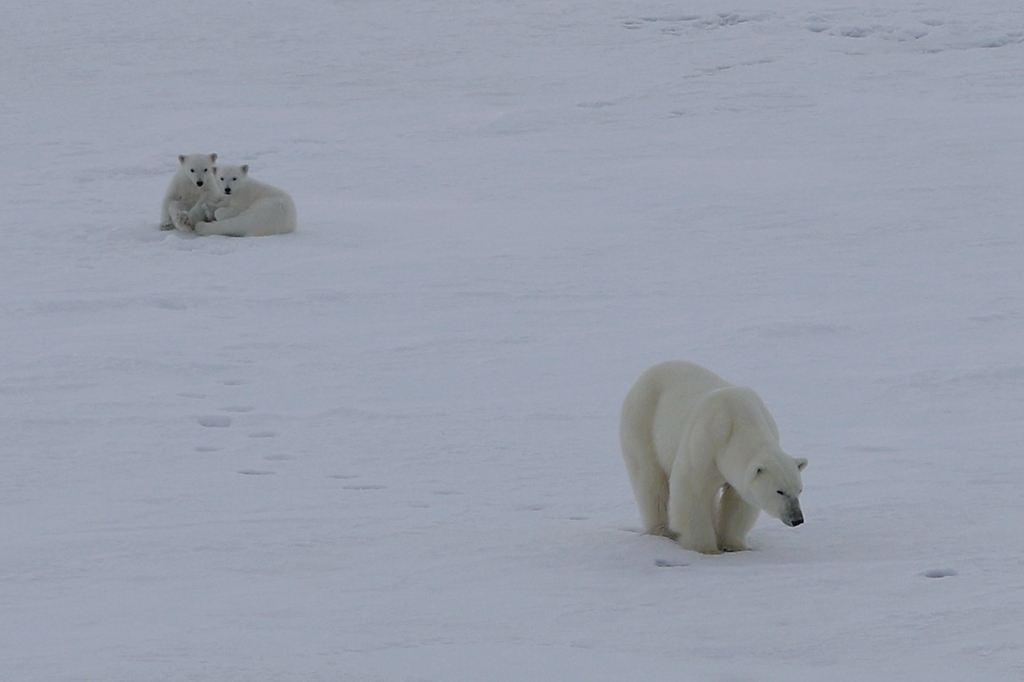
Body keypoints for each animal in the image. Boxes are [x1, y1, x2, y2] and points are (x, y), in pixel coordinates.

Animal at [618, 360, 802, 552]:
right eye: (779, 491)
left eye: (799, 490)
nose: (797, 519)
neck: (741, 420)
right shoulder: (706, 440)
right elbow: (692, 488)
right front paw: (706, 548)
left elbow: (738, 500)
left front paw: (734, 545)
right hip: (642, 423)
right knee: (650, 478)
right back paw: (662, 530)